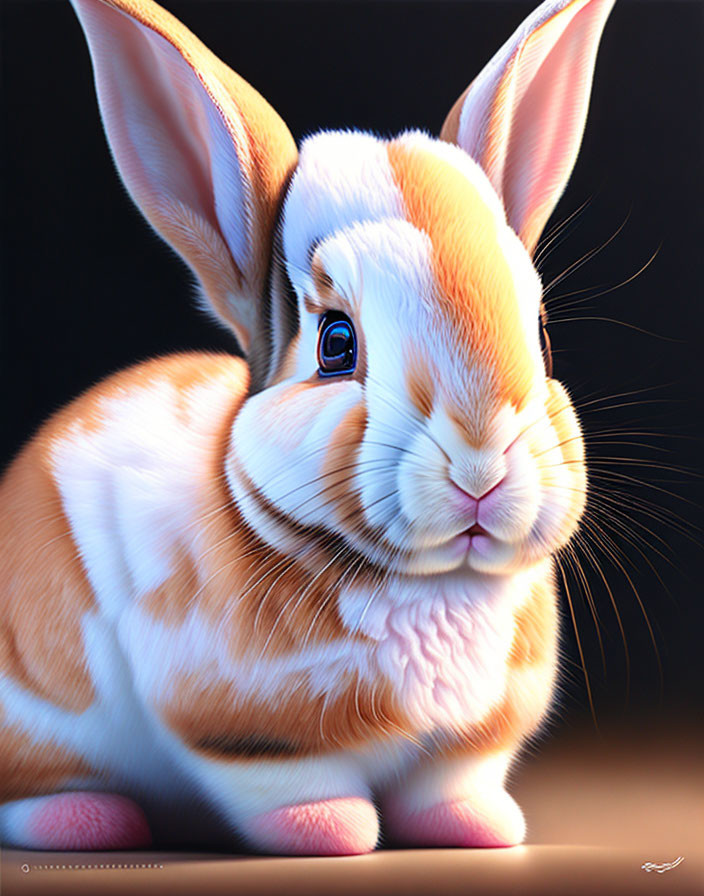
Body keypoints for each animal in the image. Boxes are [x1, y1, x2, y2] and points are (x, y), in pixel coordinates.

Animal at [0, 0, 612, 856]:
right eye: (336, 344)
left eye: (544, 336)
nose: (480, 467)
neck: (431, 586)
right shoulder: (241, 733)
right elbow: (294, 786)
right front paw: (333, 831)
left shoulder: (470, 741)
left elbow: (453, 782)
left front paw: (481, 827)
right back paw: (87, 822)